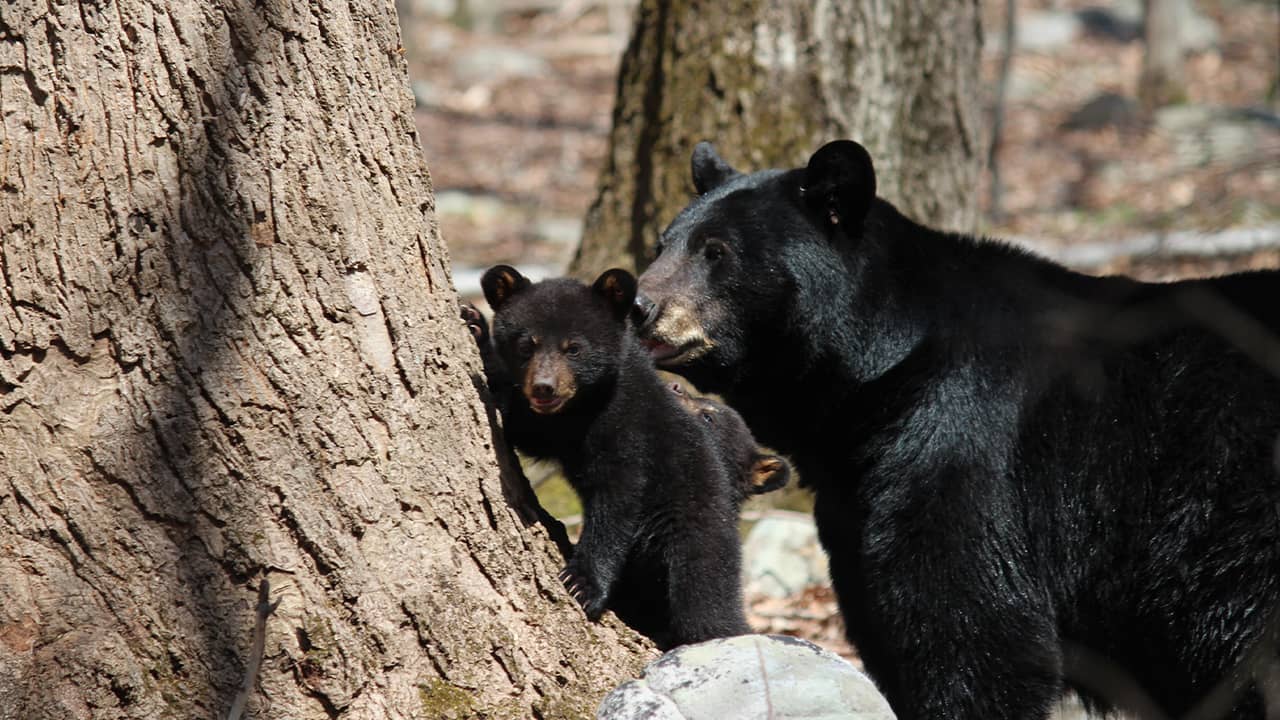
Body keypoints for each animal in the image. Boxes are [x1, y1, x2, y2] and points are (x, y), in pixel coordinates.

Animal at [461, 265, 780, 650]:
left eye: (574, 348)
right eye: (526, 345)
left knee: (703, 605)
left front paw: (583, 585)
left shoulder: (631, 431)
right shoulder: (557, 428)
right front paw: (475, 327)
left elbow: (616, 502)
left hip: (690, 544)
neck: (585, 409)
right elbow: (524, 431)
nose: (544, 388)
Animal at [630, 139, 1280, 719]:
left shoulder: (962, 440)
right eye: (663, 244)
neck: (872, 382)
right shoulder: (858, 493)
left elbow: (971, 626)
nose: (638, 305)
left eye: (717, 251)